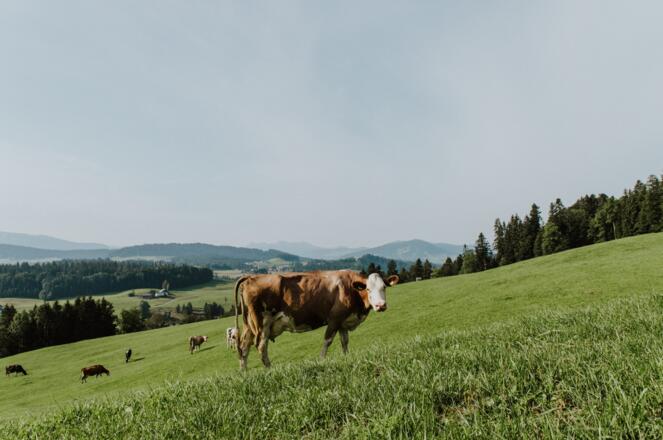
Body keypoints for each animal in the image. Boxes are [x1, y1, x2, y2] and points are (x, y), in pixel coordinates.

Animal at [234, 271, 398, 370]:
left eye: (384, 287)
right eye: (368, 289)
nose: (381, 305)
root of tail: (251, 277)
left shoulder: (343, 321)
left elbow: (344, 341)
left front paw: (346, 357)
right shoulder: (334, 319)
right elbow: (327, 341)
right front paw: (321, 361)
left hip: (249, 324)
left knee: (244, 347)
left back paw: (244, 372)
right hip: (262, 323)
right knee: (261, 346)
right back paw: (270, 370)